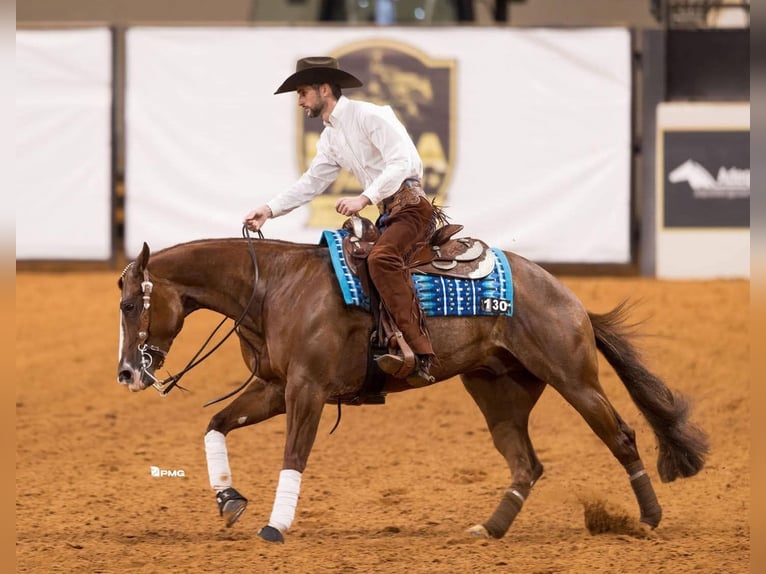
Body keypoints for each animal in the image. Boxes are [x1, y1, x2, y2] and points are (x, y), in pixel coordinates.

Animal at [116, 234, 709, 544]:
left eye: (128, 304)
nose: (126, 373)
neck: (277, 289)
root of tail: (569, 296)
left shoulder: (306, 391)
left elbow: (293, 457)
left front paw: (275, 526)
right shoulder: (272, 388)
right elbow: (215, 425)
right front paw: (230, 500)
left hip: (574, 378)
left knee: (623, 437)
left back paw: (649, 519)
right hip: (498, 392)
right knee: (526, 464)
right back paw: (488, 529)